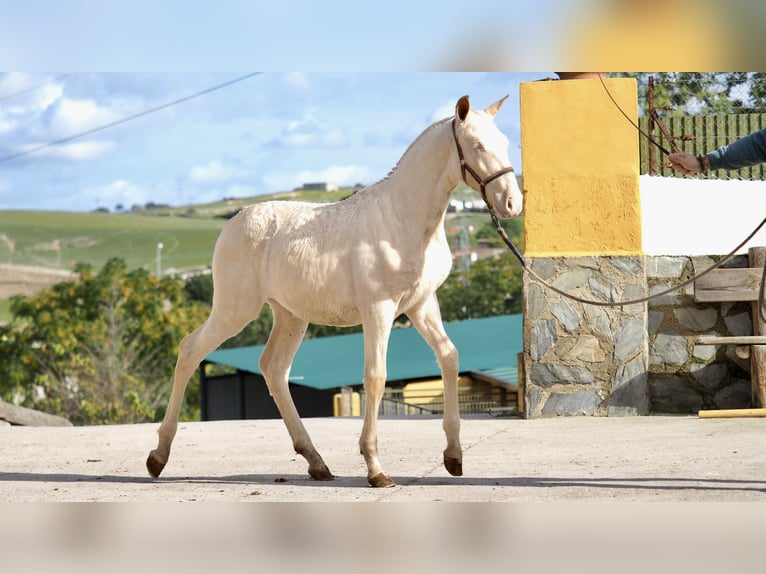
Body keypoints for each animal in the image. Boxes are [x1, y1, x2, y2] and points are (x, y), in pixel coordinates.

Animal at [147, 95, 524, 490]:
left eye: (505, 142)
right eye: (477, 145)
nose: (512, 204)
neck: (404, 219)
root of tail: (234, 223)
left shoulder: (421, 304)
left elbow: (449, 357)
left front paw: (453, 456)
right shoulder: (378, 309)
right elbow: (375, 376)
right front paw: (376, 468)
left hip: (290, 316)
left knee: (274, 368)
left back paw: (316, 461)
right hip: (235, 310)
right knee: (191, 350)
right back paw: (158, 456)